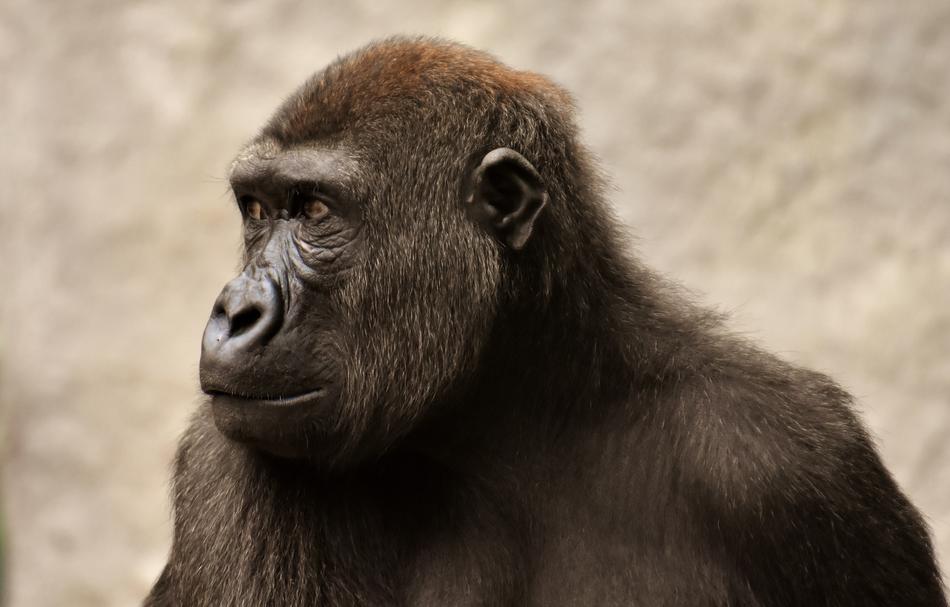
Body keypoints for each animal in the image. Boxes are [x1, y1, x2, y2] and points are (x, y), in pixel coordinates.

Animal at [145, 37, 947, 606]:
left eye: (314, 210)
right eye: (255, 209)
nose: (235, 311)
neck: (514, 414)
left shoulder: (797, 460)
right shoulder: (224, 467)